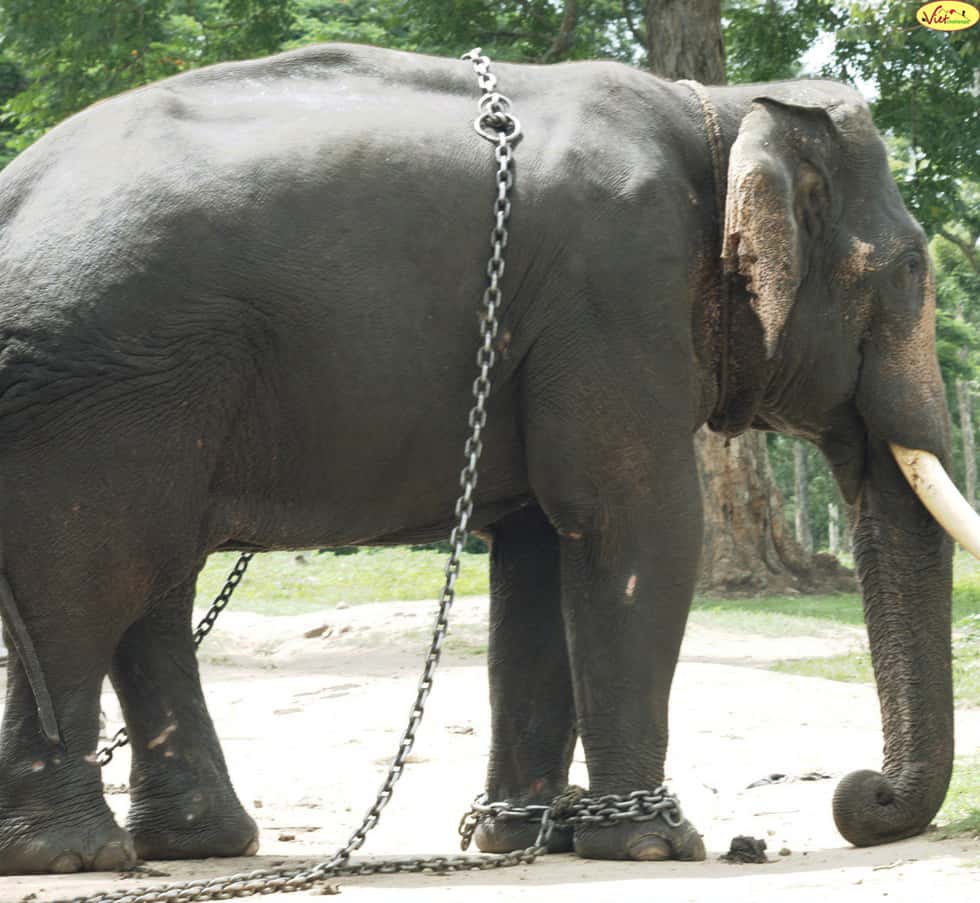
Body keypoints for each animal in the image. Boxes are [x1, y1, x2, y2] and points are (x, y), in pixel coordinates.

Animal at [0, 42, 977, 875]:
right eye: (908, 274)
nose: (861, 795)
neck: (718, 107)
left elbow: (541, 555)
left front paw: (524, 835)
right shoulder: (617, 293)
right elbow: (633, 520)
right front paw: (653, 844)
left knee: (151, 588)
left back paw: (198, 844)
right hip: (104, 387)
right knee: (90, 585)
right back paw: (74, 855)